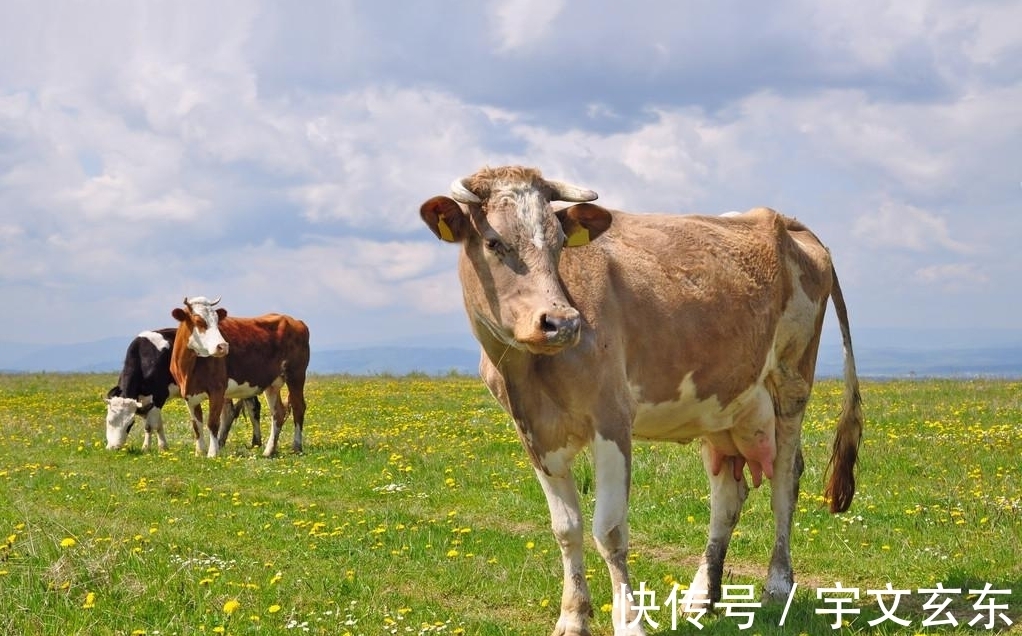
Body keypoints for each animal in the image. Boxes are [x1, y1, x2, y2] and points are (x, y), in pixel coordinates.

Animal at [104, 329, 261, 453]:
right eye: (109, 421)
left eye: (130, 424)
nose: (114, 448)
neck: (145, 355)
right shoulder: (145, 400)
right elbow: (157, 423)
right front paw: (163, 446)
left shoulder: (158, 396)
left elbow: (150, 425)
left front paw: (148, 448)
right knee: (233, 411)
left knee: (251, 408)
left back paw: (254, 443)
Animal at [167, 298, 308, 458]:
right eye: (199, 321)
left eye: (217, 320)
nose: (222, 346)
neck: (188, 369)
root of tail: (295, 321)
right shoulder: (188, 394)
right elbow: (196, 424)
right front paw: (200, 452)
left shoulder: (217, 389)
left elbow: (212, 422)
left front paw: (212, 453)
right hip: (272, 384)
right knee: (278, 412)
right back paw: (269, 451)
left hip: (296, 375)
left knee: (298, 407)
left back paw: (296, 446)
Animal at [419, 166, 866, 636]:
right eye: (493, 243)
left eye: (559, 244)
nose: (562, 322)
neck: (526, 373)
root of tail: (785, 220)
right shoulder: (535, 434)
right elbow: (566, 529)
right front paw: (572, 617)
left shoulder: (612, 418)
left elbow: (610, 530)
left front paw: (629, 622)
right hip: (723, 406)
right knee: (728, 495)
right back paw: (700, 598)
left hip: (791, 381)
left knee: (785, 478)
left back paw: (777, 586)